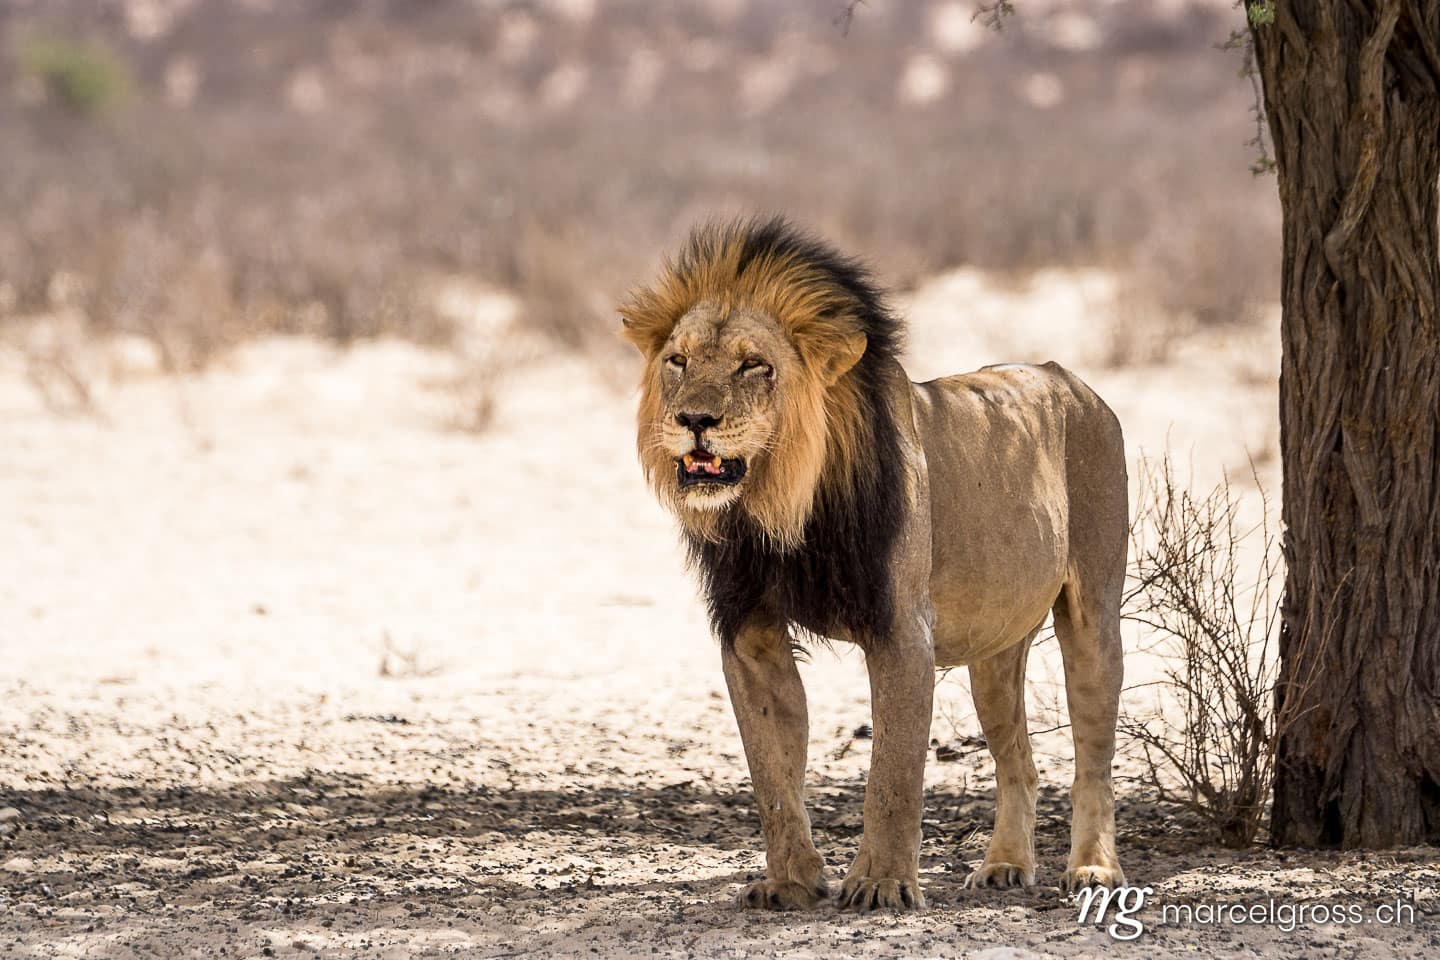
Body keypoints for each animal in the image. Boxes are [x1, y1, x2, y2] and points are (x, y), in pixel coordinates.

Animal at [619, 217, 1127, 911]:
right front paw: (790, 881)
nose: (694, 419)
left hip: (1094, 612)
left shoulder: (902, 630)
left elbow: (893, 771)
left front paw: (882, 882)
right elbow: (772, 774)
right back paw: (1003, 864)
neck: (783, 504)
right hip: (996, 650)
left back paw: (1094, 870)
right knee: (1018, 760)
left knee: (1093, 756)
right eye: (679, 360)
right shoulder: (749, 633)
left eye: (754, 365)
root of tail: (1070, 378)